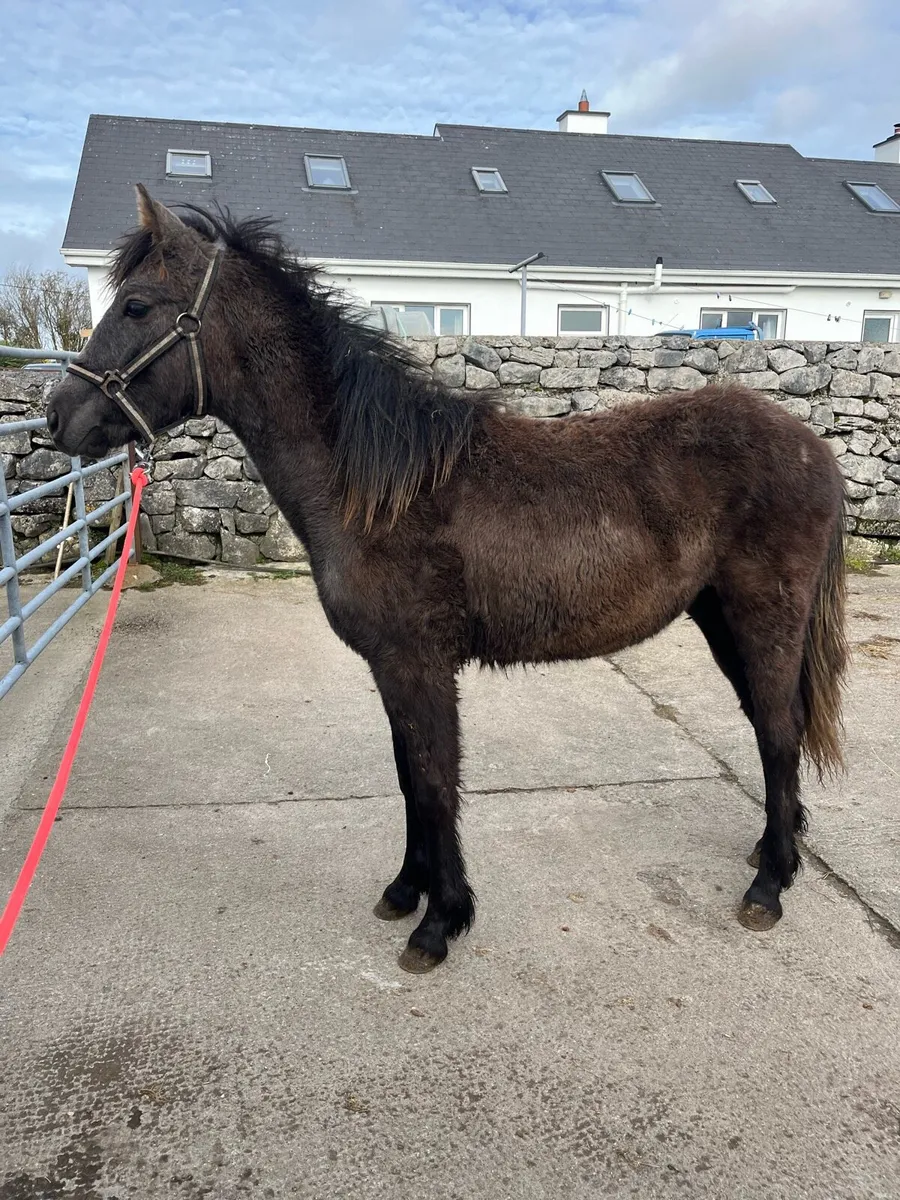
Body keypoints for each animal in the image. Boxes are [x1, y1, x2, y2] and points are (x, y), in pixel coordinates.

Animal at [47, 186, 848, 973]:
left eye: (136, 306)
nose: (58, 419)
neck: (375, 483)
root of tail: (812, 448)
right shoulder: (391, 666)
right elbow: (409, 777)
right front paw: (407, 890)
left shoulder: (418, 662)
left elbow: (435, 781)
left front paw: (441, 922)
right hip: (721, 618)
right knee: (770, 727)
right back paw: (775, 848)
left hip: (762, 617)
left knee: (780, 732)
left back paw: (769, 884)